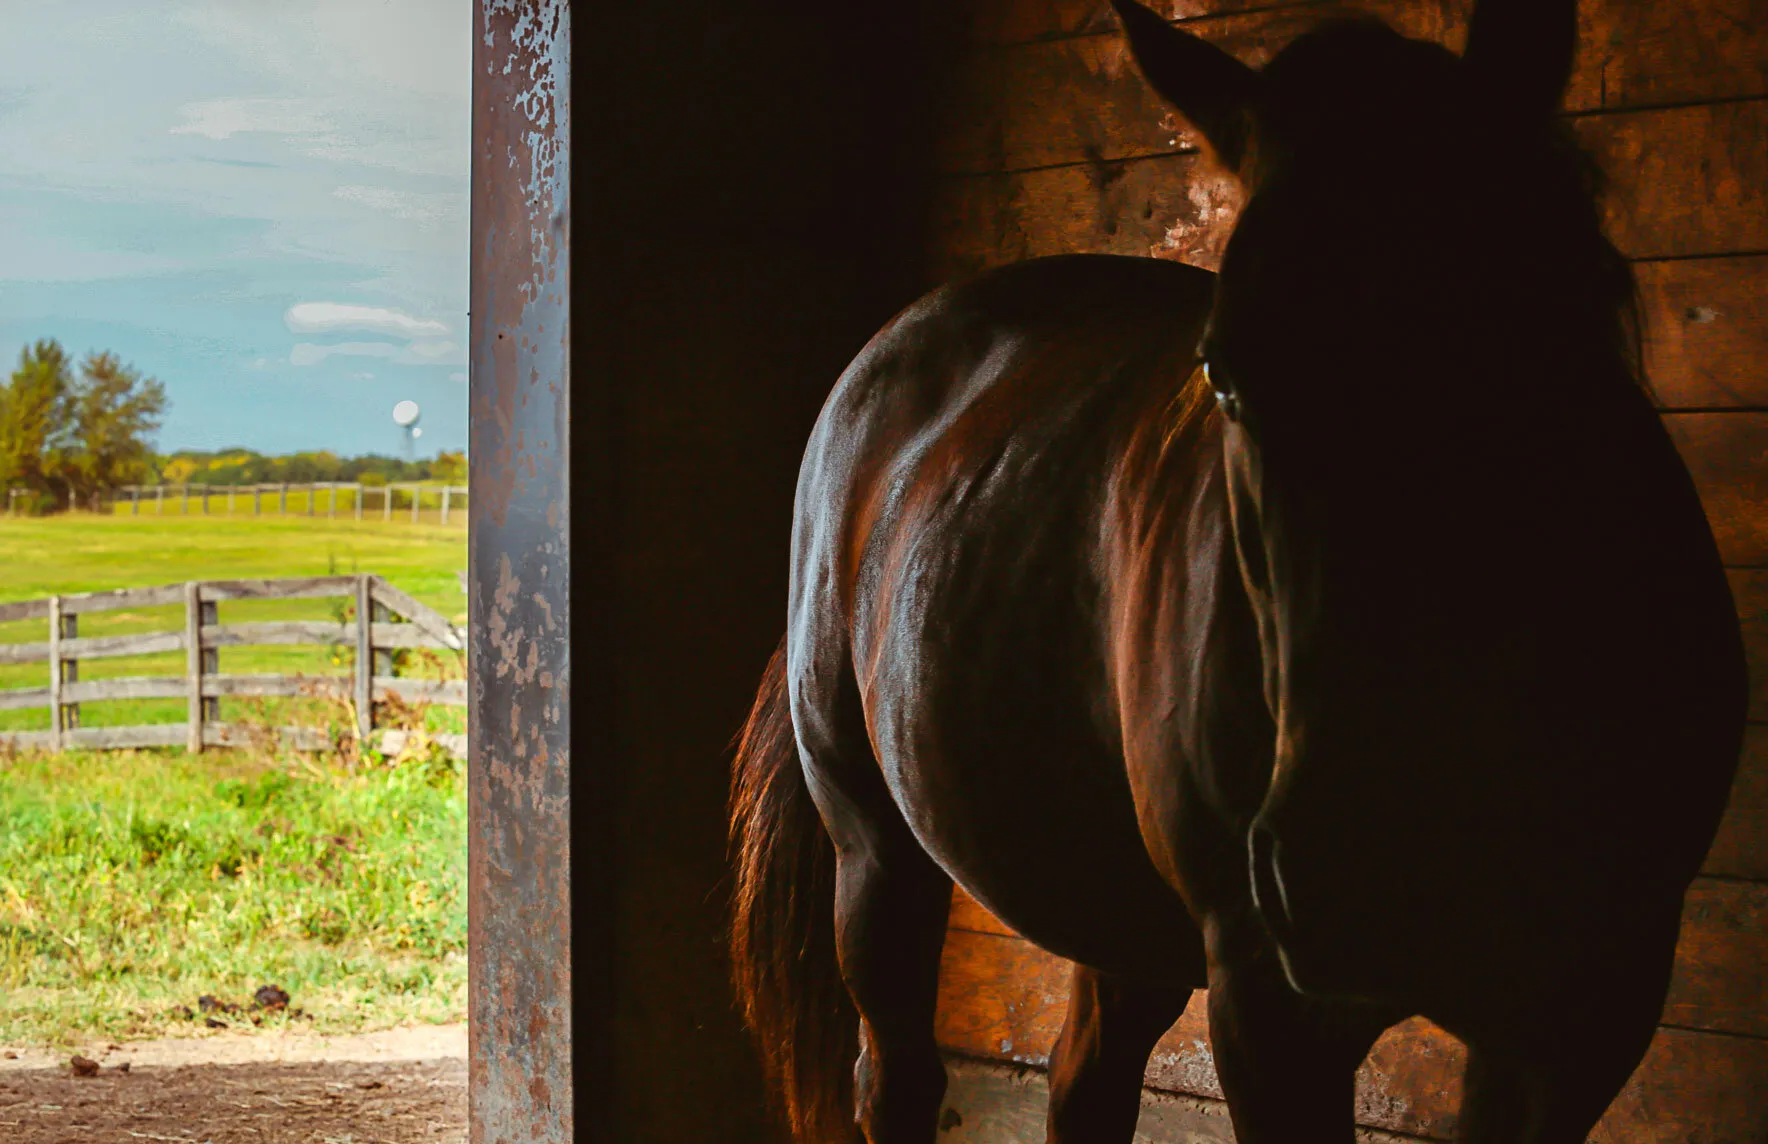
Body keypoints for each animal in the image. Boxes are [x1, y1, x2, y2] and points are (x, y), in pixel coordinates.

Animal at [729, 1, 1747, 1140]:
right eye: (1222, 367)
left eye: (1542, 322)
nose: (1354, 871)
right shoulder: (1270, 1006)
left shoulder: (1583, 1012)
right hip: (874, 851)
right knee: (898, 1069)